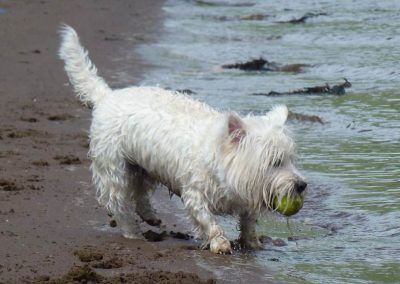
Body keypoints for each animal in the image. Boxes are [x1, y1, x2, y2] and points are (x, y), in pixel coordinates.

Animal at [58, 25, 306, 254]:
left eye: (291, 159)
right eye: (275, 162)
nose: (302, 185)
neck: (220, 159)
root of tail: (107, 97)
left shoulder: (245, 194)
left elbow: (248, 220)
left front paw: (252, 241)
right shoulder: (195, 194)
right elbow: (208, 220)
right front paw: (220, 243)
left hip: (142, 166)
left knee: (141, 193)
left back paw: (150, 216)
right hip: (114, 168)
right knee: (119, 203)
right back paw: (134, 233)